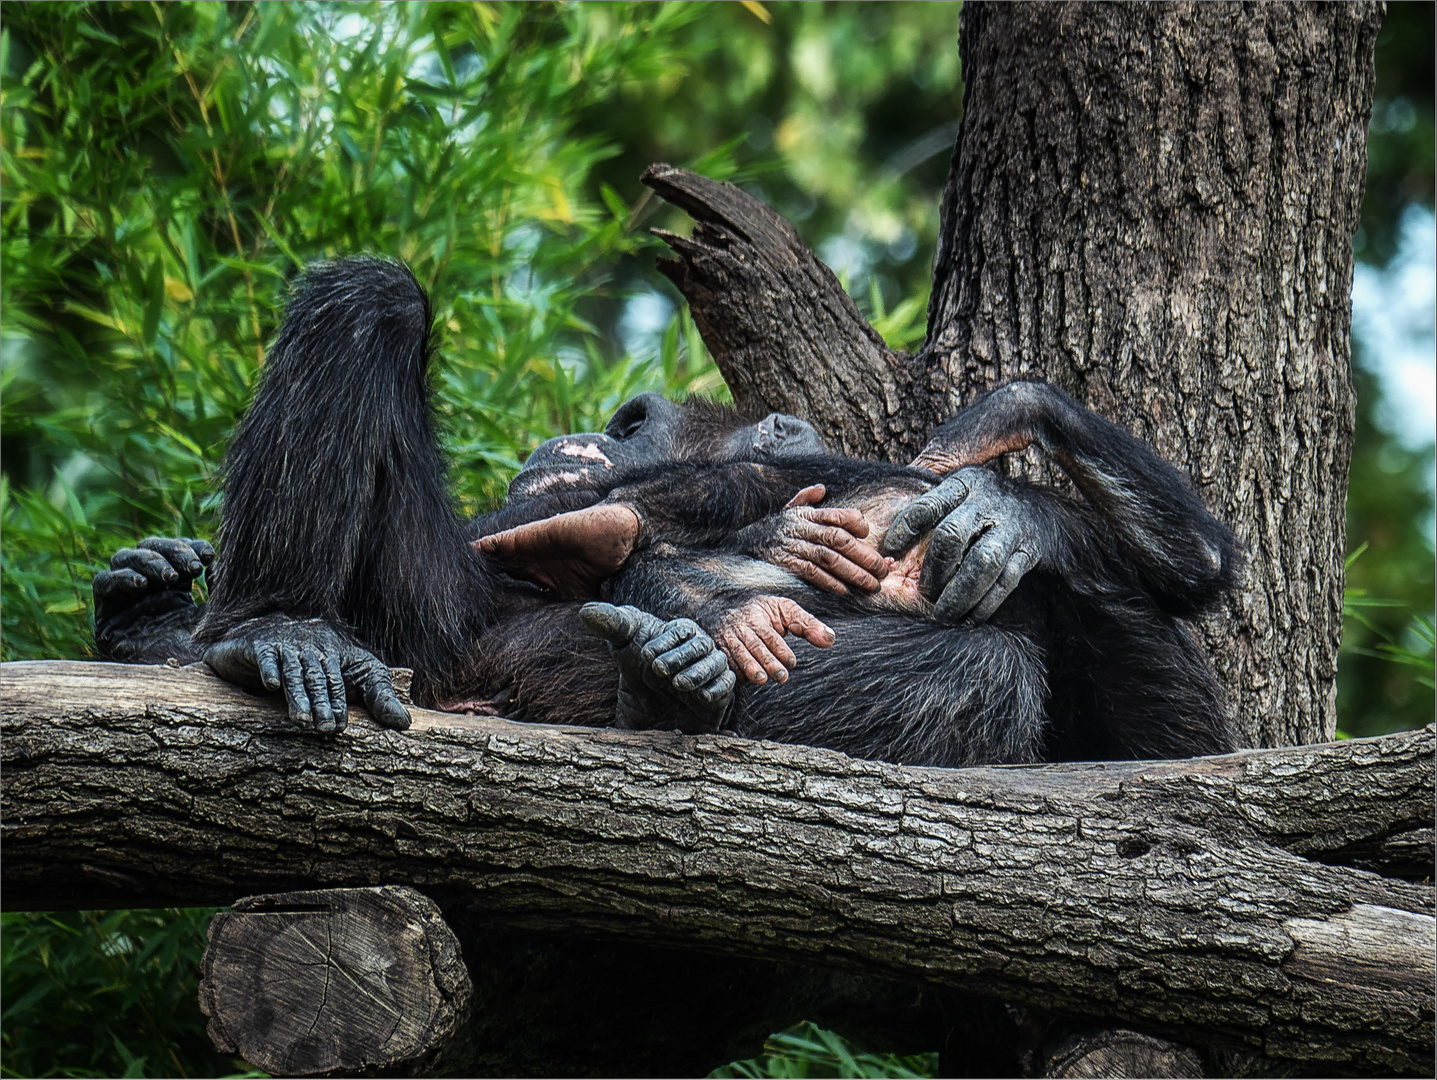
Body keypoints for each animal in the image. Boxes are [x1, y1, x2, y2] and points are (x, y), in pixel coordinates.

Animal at [92, 255, 1235, 764]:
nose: (619, 416)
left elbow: (1181, 724)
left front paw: (1009, 480)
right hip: (422, 617)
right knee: (371, 295)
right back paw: (265, 630)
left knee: (994, 662)